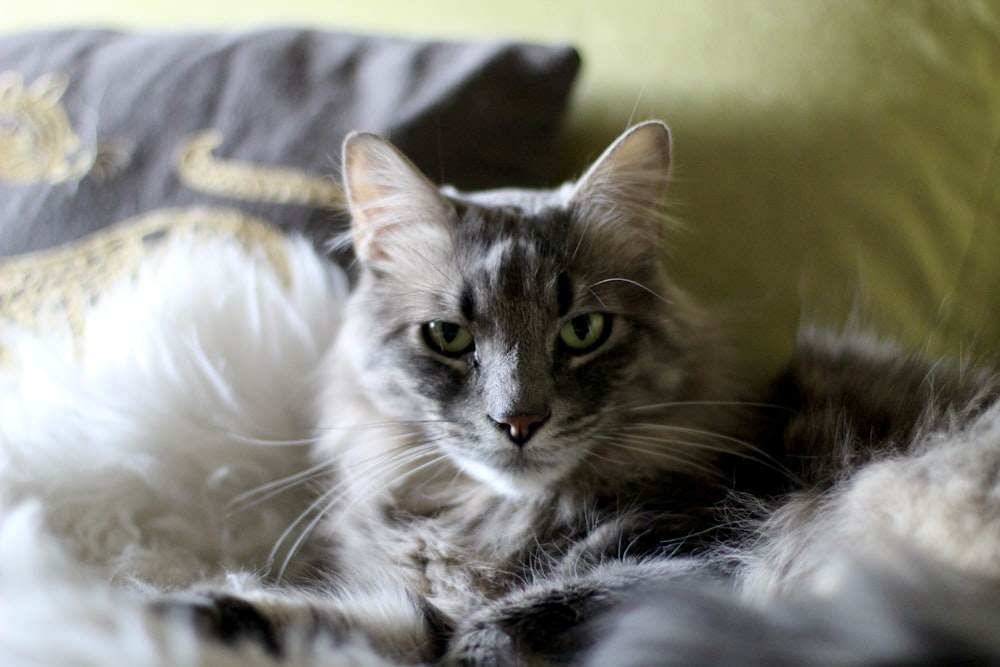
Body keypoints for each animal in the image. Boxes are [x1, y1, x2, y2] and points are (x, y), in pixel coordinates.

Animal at [160, 122, 1000, 664]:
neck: (492, 524)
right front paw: (165, 611)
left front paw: (481, 645)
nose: (519, 420)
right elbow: (315, 619)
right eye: (449, 336)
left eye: (584, 329)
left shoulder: (702, 554)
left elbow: (530, 611)